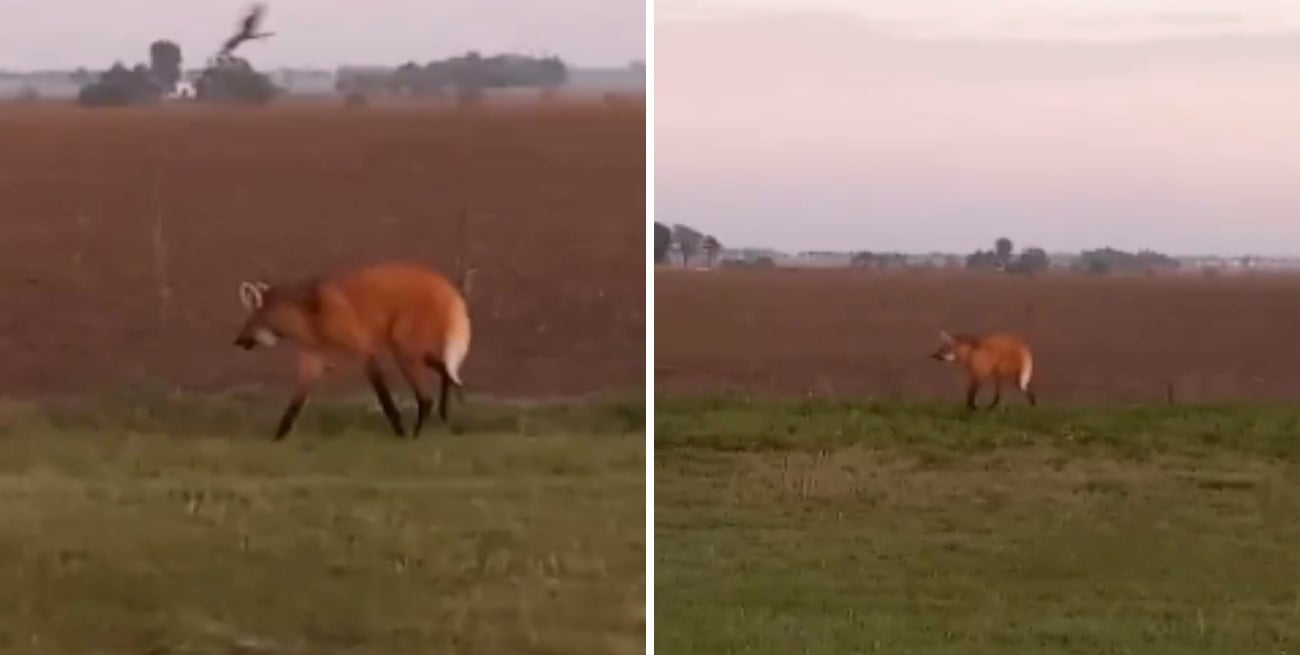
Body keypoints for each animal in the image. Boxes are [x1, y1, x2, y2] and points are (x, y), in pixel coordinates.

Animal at [233, 261, 473, 439]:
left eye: (247, 324)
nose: (236, 341)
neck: (309, 318)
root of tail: (443, 283)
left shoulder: (365, 350)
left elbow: (385, 399)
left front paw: (400, 433)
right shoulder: (312, 358)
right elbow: (293, 407)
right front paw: (277, 439)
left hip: (402, 348)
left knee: (426, 398)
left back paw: (415, 435)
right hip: (410, 350)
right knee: (445, 371)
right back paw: (444, 416)